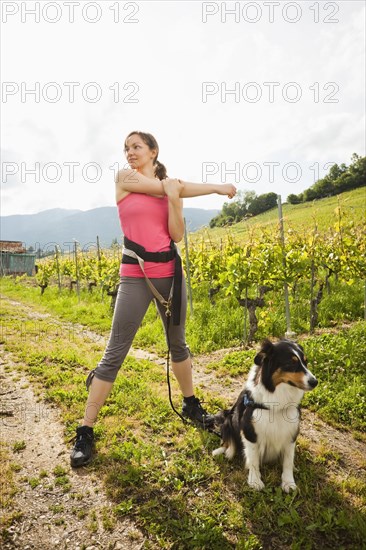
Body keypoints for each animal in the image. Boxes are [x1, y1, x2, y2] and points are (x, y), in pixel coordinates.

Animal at [212, 338, 318, 494]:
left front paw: (288, 482)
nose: (315, 382)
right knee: (228, 441)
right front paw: (255, 481)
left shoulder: (291, 432)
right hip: (227, 418)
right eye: (291, 363)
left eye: (306, 362)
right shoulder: (250, 433)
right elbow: (254, 460)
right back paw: (223, 450)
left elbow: (288, 460)